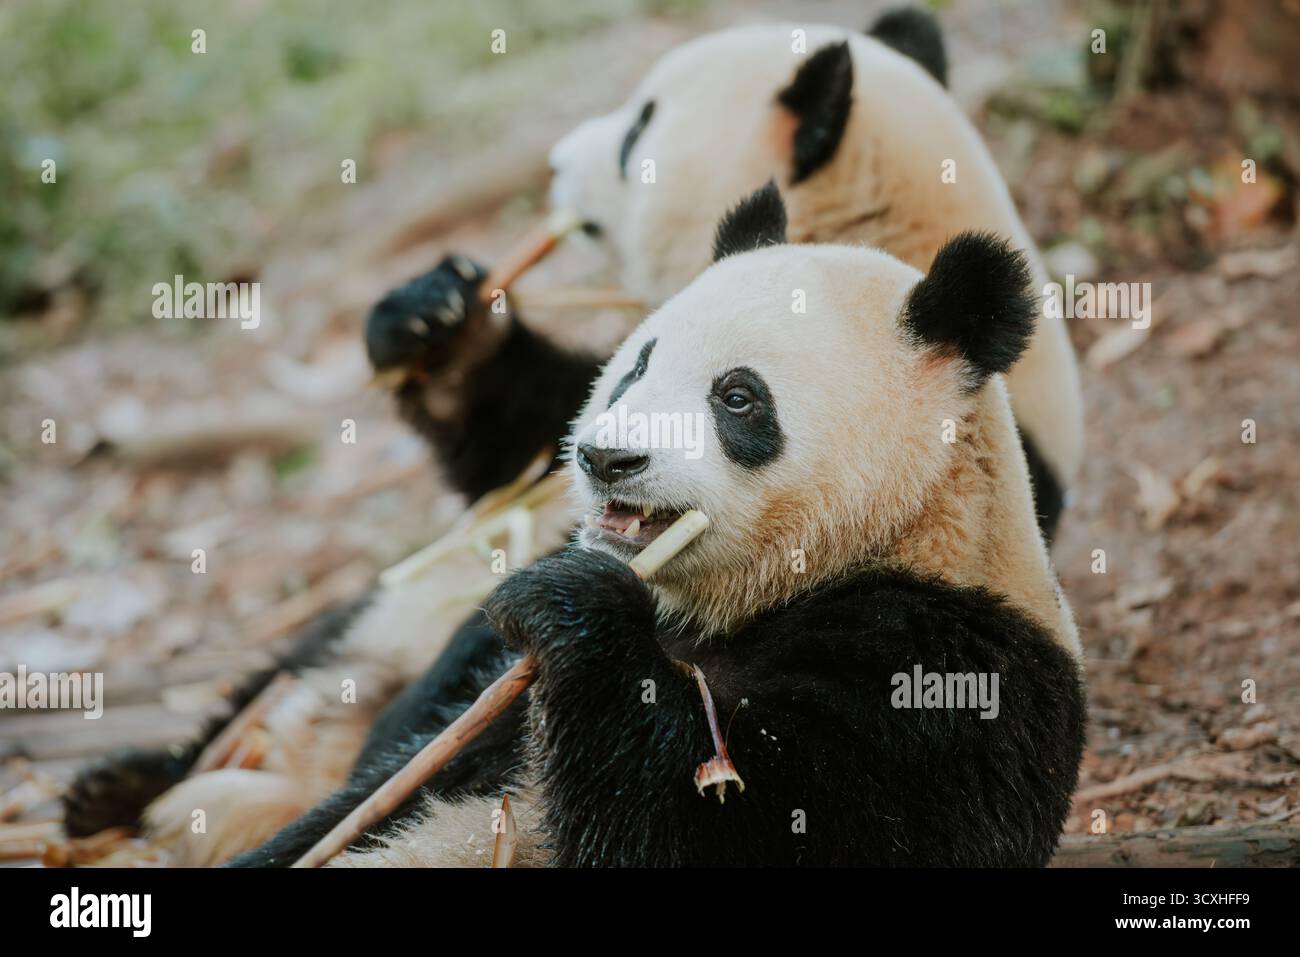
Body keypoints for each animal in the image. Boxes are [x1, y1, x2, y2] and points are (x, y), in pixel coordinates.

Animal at [232, 183, 1086, 868]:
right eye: (636, 366)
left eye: (738, 397)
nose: (606, 457)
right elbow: (522, 436)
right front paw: (440, 324)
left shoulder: (943, 667)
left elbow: (748, 827)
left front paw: (575, 608)